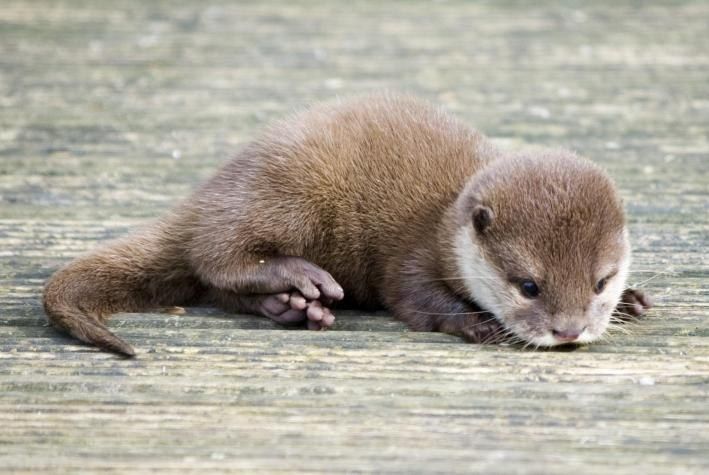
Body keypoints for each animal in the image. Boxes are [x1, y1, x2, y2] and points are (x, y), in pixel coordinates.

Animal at [43, 94, 652, 356]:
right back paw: (301, 280)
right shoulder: (412, 256)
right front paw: (480, 324)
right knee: (217, 255)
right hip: (289, 194)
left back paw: (292, 308)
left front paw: (630, 302)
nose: (569, 331)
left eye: (600, 280)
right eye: (528, 286)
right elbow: (415, 299)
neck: (445, 222)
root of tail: (207, 192)